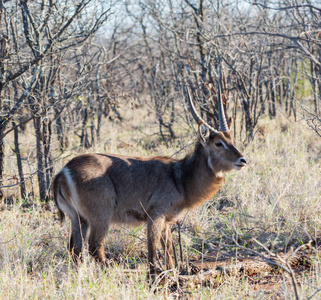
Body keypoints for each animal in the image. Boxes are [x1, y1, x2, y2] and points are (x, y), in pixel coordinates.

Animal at [53, 85, 246, 276]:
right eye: (218, 143)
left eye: (231, 139)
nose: (242, 160)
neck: (181, 177)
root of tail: (63, 171)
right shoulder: (155, 214)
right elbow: (152, 249)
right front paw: (156, 276)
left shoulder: (166, 219)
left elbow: (168, 248)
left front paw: (172, 273)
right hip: (100, 216)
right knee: (95, 247)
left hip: (78, 218)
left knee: (75, 250)